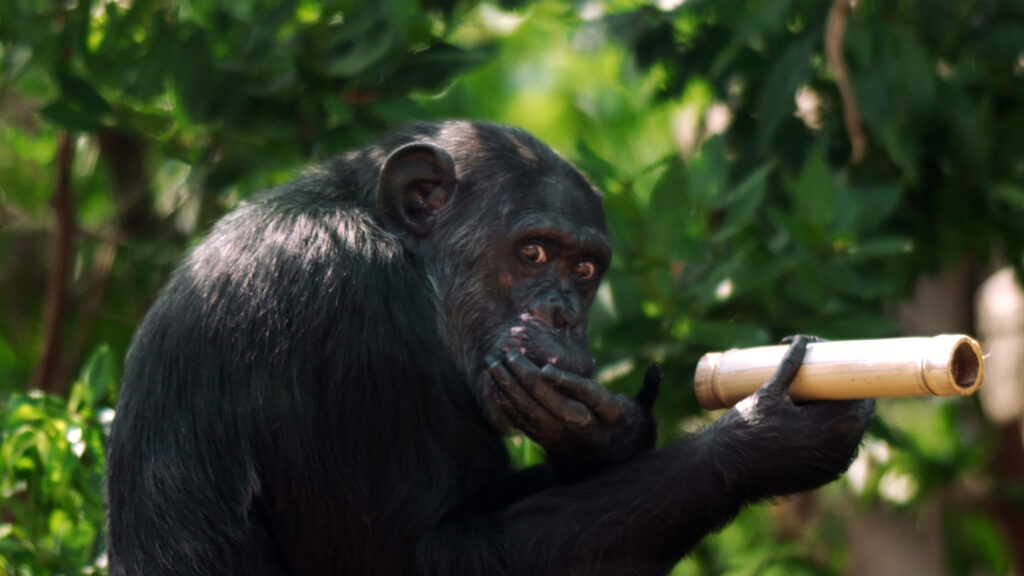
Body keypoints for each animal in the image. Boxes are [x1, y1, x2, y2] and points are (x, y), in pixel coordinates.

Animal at [105, 118, 872, 569]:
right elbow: (418, 555)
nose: (562, 315)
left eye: (584, 270)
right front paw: (765, 439)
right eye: (532, 253)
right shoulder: (345, 316)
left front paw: (613, 430)